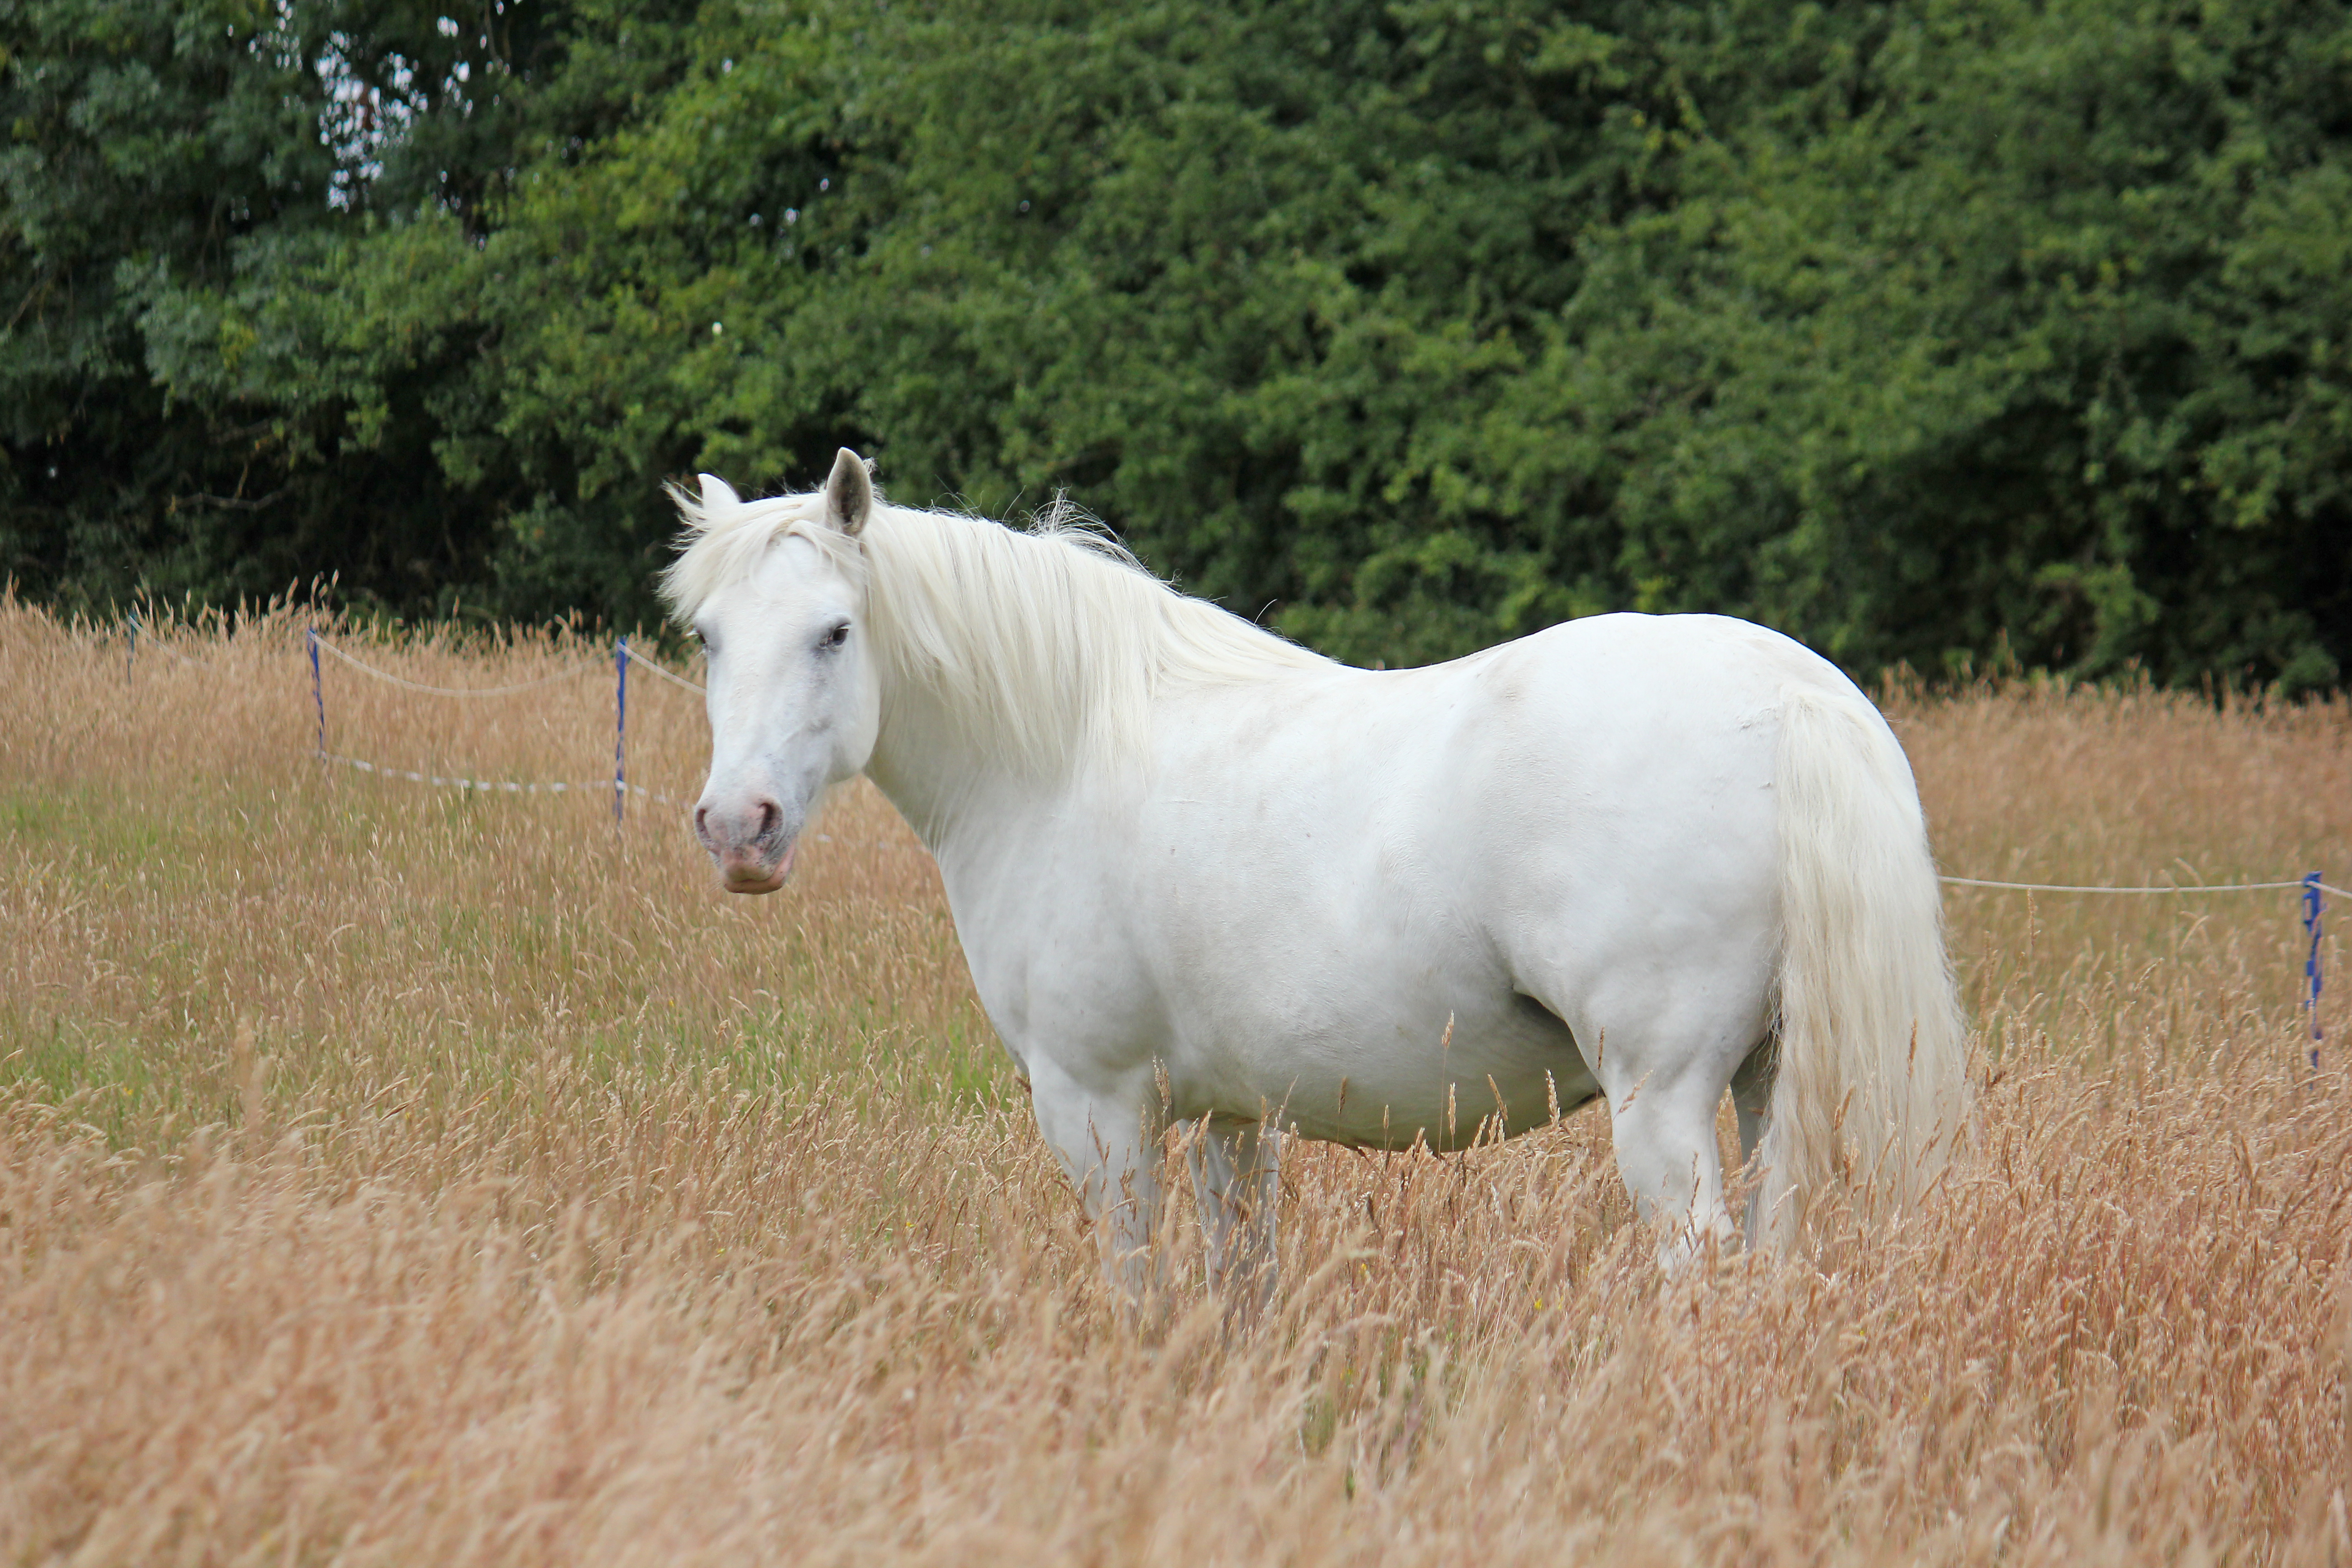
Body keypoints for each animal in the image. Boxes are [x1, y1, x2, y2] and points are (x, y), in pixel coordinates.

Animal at [663, 449, 1968, 1313]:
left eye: (835, 632)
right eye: (709, 639)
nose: (738, 827)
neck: (1063, 750)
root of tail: (1794, 695)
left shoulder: (1098, 1111)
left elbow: (1137, 1292)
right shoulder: (1234, 1117)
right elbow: (1241, 1281)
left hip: (1665, 1102)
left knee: (1702, 1266)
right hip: (1771, 1085)